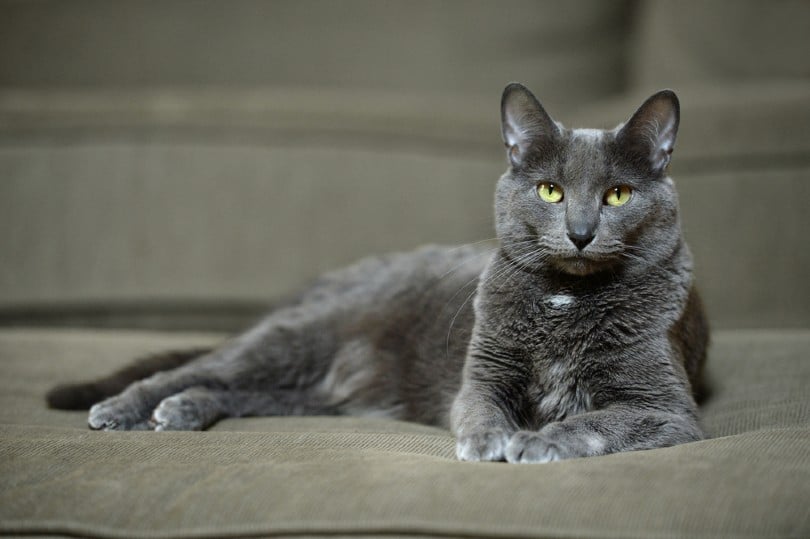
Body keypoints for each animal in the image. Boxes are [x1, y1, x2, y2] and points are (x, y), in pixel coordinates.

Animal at [50, 83, 708, 464]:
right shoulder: (483, 373)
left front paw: (537, 439)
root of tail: (329, 278)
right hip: (300, 336)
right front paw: (490, 441)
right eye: (551, 191)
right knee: (201, 367)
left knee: (260, 392)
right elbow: (480, 408)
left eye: (618, 194)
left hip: (323, 387)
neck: (565, 297)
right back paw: (128, 408)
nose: (580, 231)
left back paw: (186, 410)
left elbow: (595, 420)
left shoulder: (668, 408)